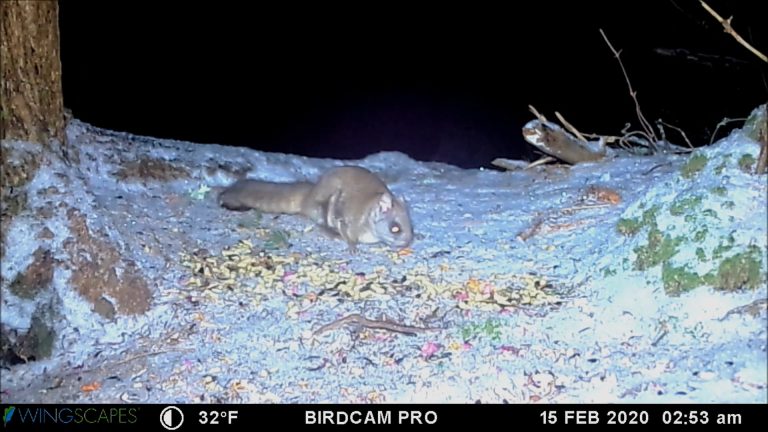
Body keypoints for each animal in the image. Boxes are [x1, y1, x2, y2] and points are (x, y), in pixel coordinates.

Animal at [218, 166, 414, 253]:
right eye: (395, 228)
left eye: (411, 226)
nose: (407, 243)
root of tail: (309, 195)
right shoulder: (346, 220)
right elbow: (348, 235)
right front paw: (352, 247)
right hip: (326, 206)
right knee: (321, 226)